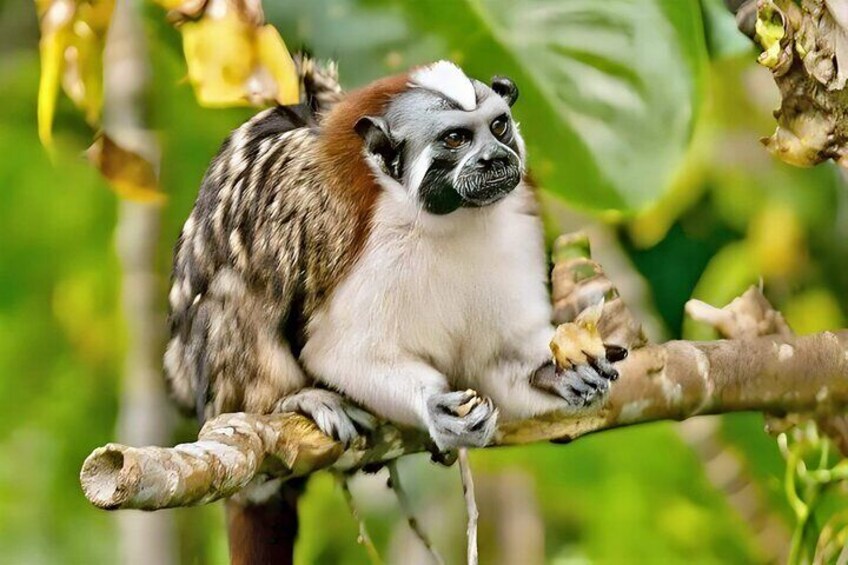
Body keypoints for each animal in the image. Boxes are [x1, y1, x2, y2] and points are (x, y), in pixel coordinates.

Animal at [164, 59, 624, 560]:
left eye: (498, 126)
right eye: (456, 139)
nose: (495, 159)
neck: (453, 219)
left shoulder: (516, 220)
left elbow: (496, 355)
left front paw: (563, 373)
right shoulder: (368, 243)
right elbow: (340, 352)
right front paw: (434, 409)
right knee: (237, 287)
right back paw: (291, 400)